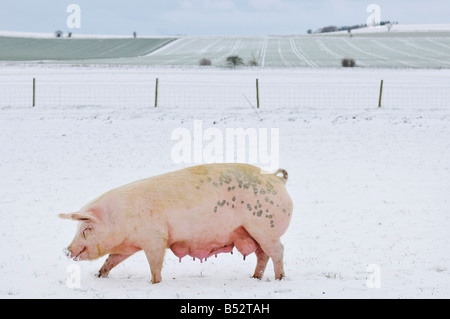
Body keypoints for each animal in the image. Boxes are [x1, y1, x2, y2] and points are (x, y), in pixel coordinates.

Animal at [59, 164, 292, 284]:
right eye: (78, 228)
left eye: (87, 229)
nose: (66, 250)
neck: (120, 219)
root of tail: (278, 179)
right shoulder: (129, 246)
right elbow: (112, 259)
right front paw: (100, 275)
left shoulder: (155, 238)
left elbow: (155, 263)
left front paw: (155, 283)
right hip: (254, 234)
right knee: (262, 255)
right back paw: (255, 277)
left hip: (266, 230)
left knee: (278, 251)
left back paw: (279, 278)